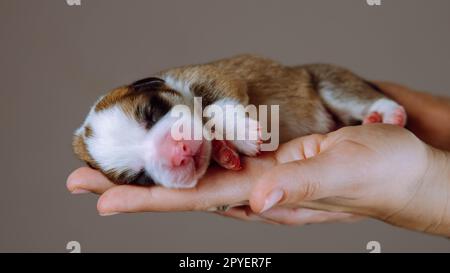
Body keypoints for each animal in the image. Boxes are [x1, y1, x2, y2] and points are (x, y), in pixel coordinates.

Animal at [72, 54, 406, 188]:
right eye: (141, 177)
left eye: (152, 112)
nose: (176, 153)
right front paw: (224, 153)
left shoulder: (212, 76)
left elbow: (212, 106)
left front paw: (243, 134)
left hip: (327, 81)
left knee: (358, 95)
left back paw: (388, 114)